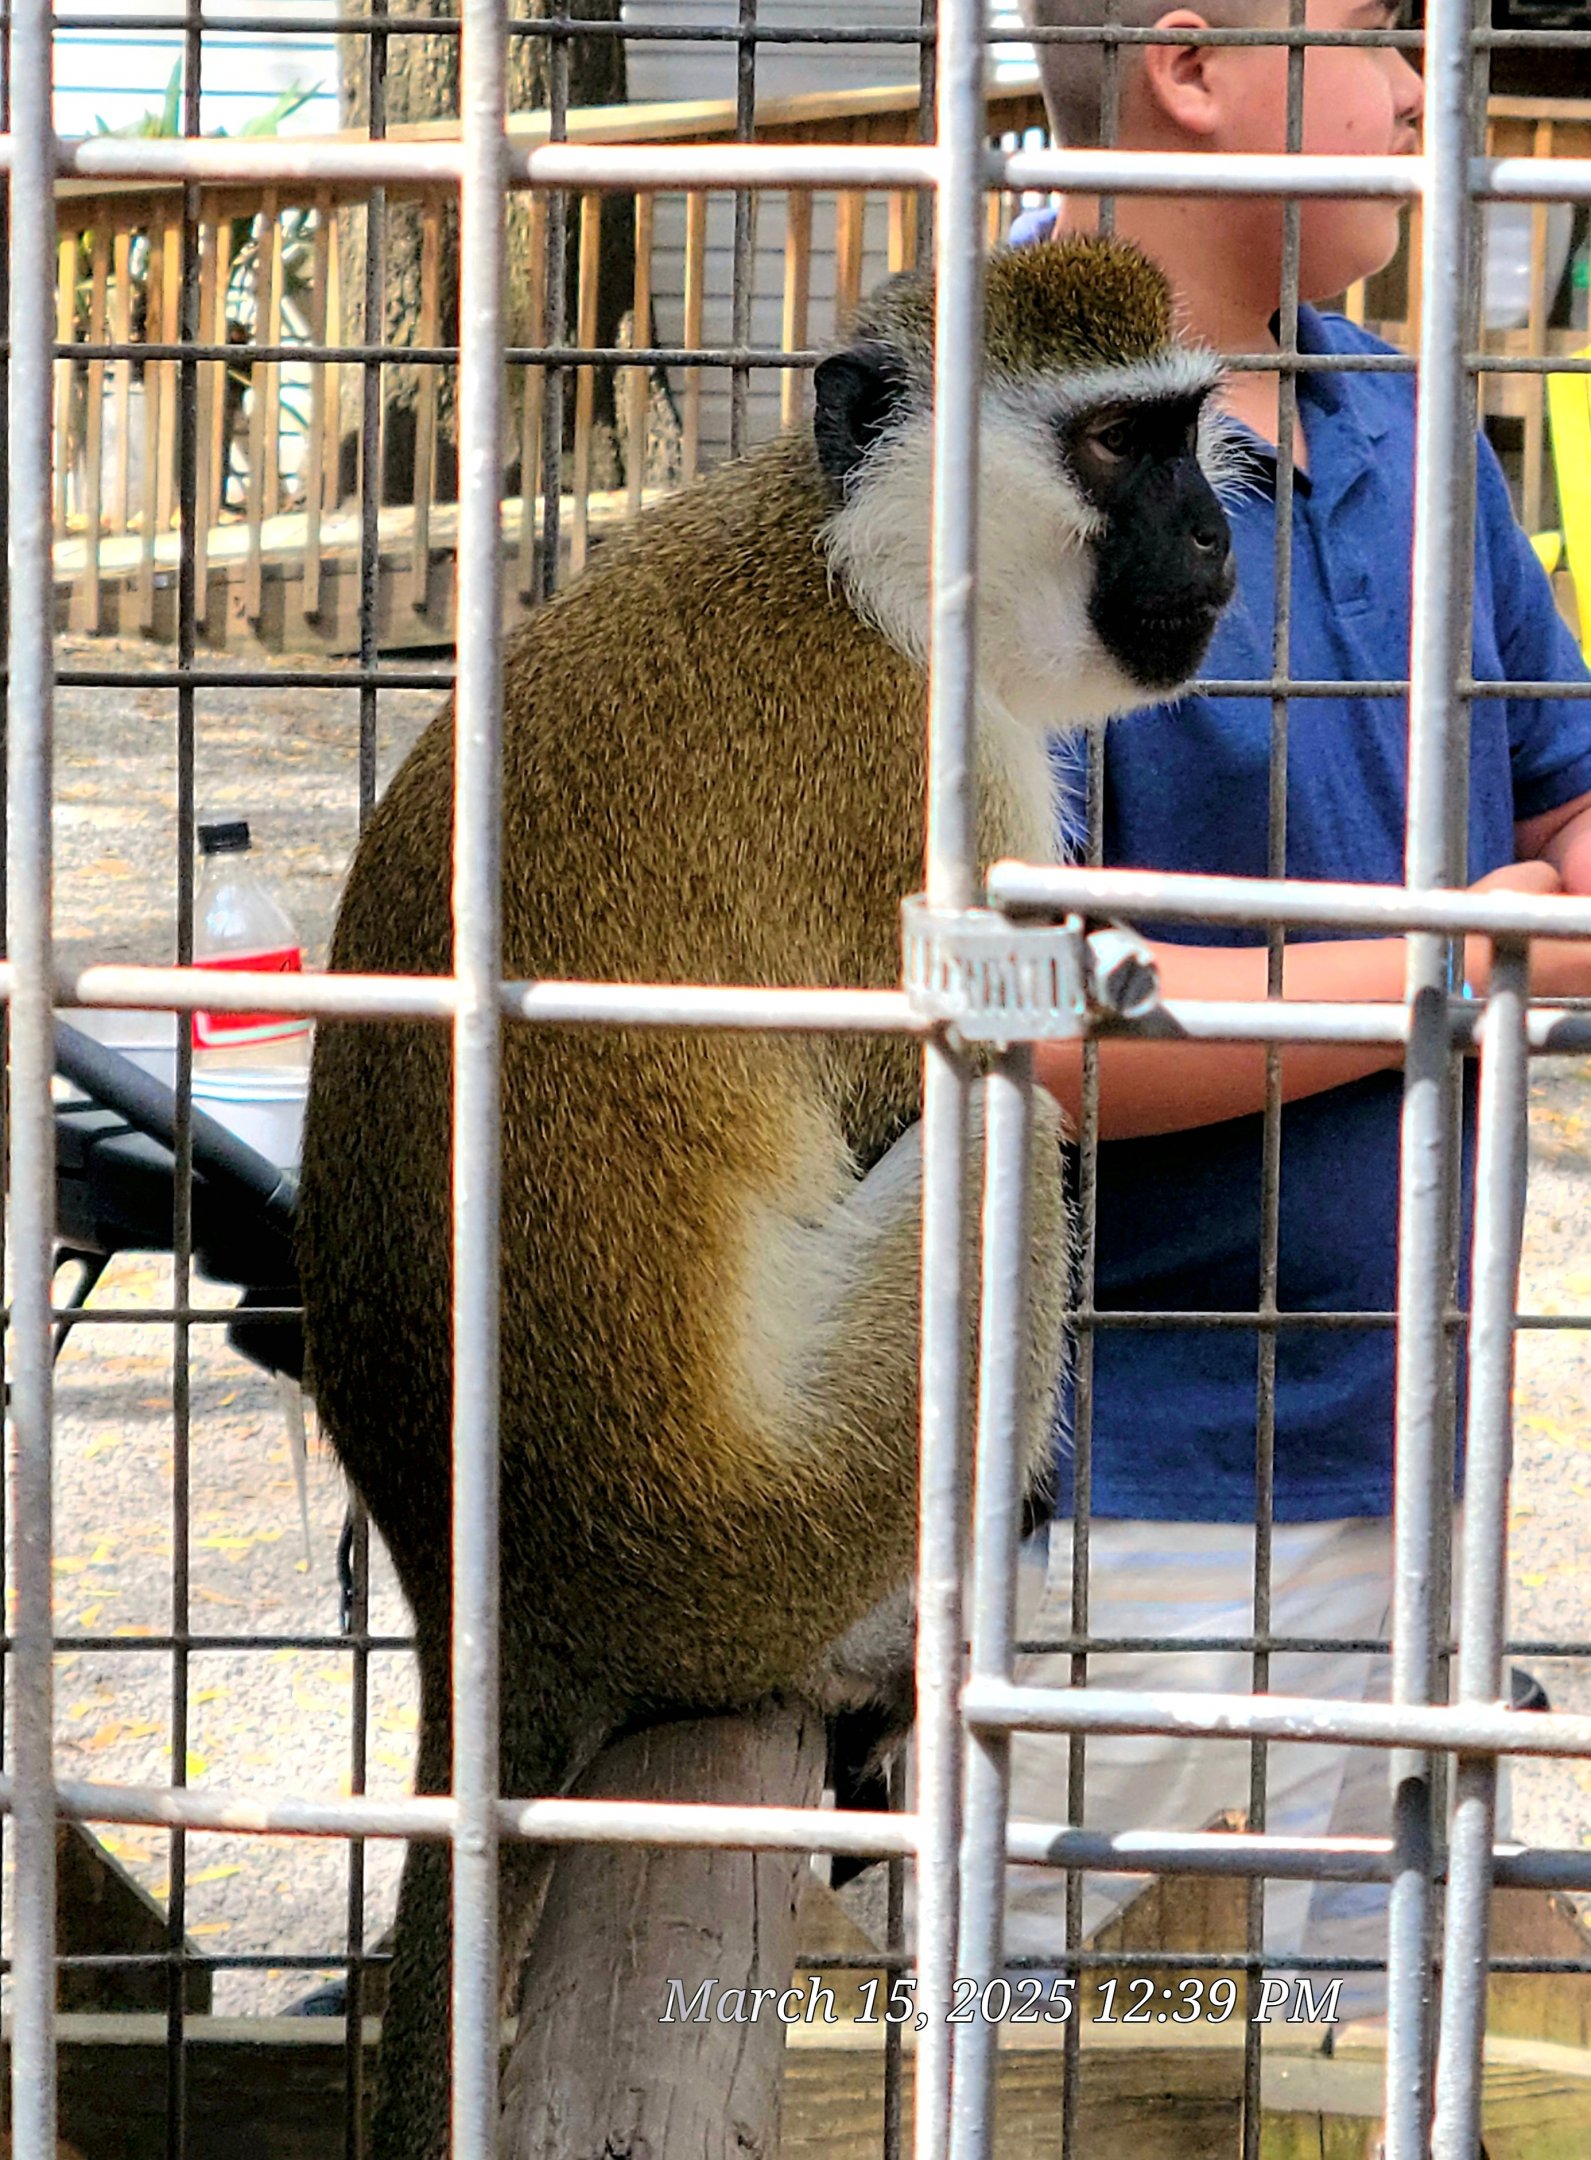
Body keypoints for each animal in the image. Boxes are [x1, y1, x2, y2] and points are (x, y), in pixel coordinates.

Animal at [294, 235, 1235, 2158]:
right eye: (1113, 448)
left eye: (1188, 430)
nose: (1214, 531)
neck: (857, 567)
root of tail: (493, 1596)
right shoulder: (930, 794)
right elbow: (936, 1090)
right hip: (757, 1539)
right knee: (999, 1134)